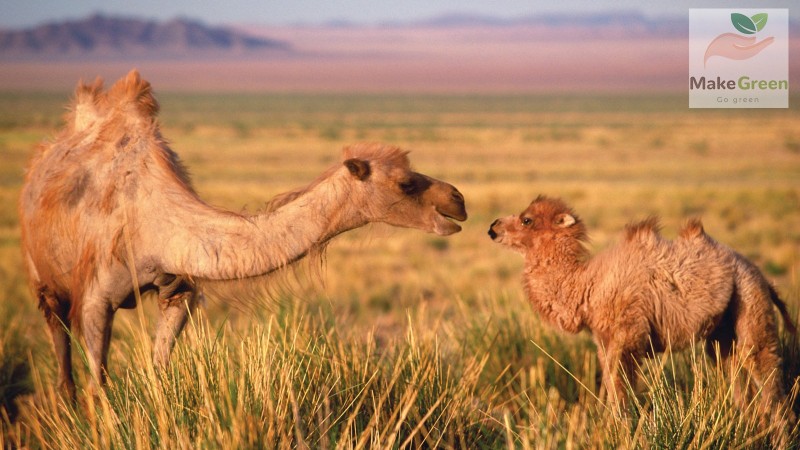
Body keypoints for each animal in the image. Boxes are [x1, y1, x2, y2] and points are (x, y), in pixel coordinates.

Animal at [488, 195, 792, 414]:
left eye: (527, 220)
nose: (493, 227)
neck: (587, 285)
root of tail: (760, 275)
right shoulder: (603, 342)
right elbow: (613, 391)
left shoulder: (627, 338)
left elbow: (621, 397)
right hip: (723, 336)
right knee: (743, 388)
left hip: (751, 306)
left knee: (772, 387)